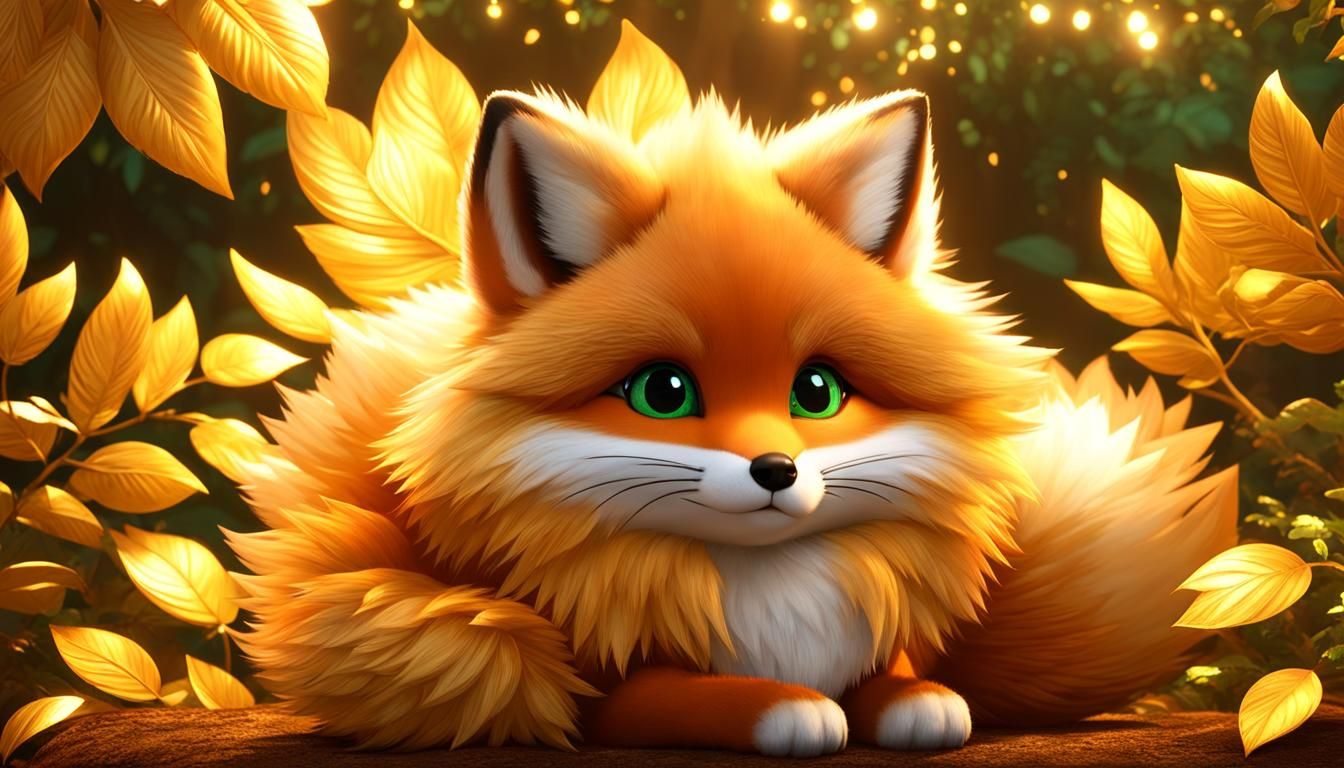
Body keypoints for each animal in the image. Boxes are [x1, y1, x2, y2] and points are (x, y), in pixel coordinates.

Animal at [227, 25, 1237, 756]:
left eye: (818, 391)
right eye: (664, 392)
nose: (776, 470)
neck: (774, 596)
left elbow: (907, 681)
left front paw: (917, 700)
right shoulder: (611, 689)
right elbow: (723, 701)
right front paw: (790, 708)